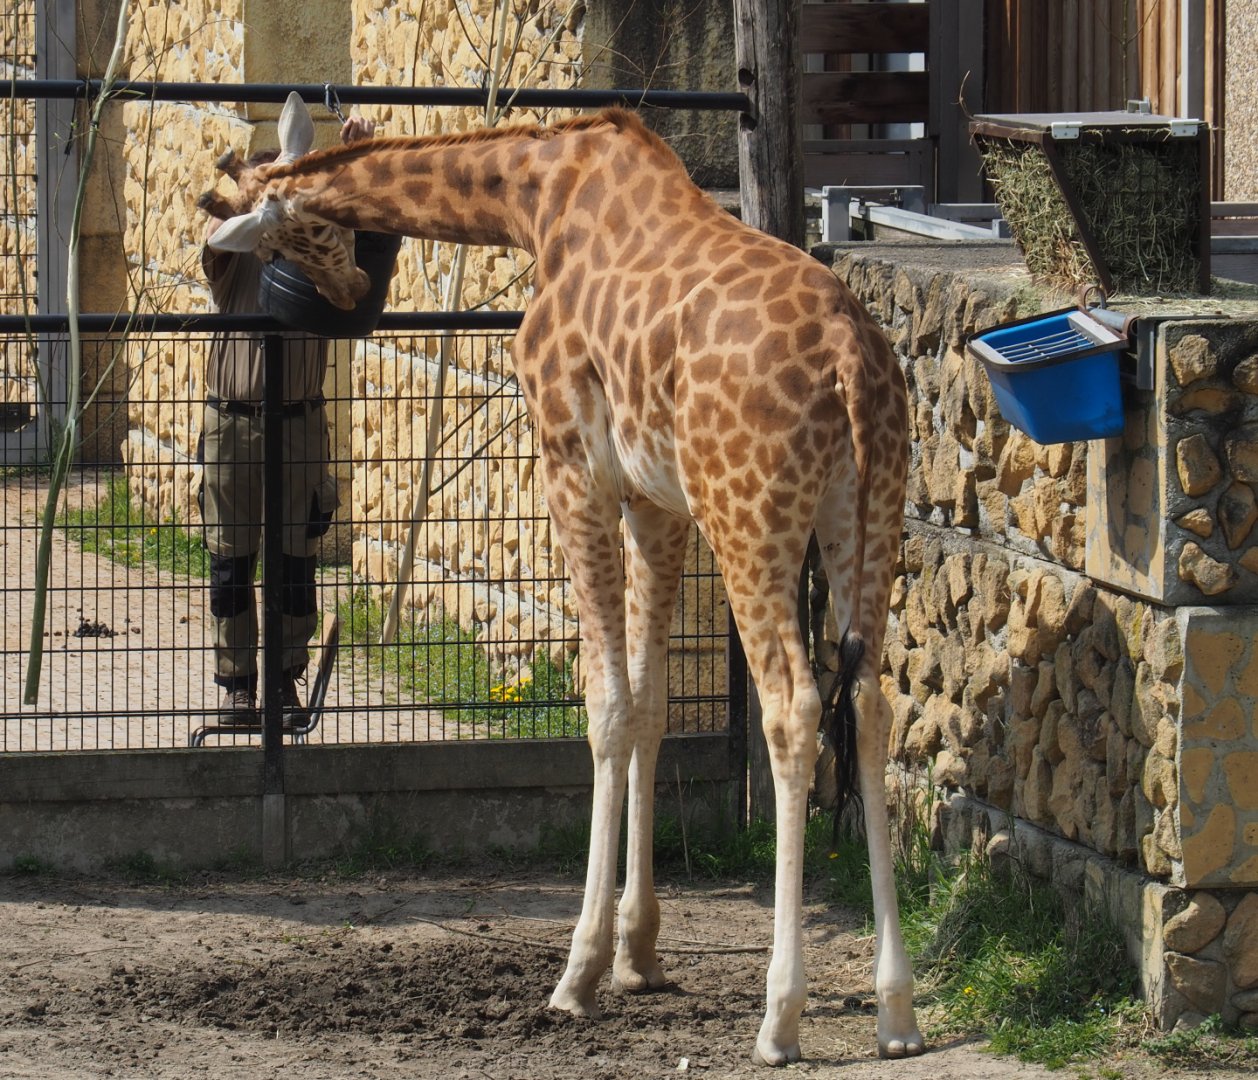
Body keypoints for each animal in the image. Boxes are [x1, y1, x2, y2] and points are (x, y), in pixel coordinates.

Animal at [204, 92, 924, 1066]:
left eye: (287, 235)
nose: (352, 292)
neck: (534, 199)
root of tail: (853, 362)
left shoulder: (573, 466)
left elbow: (607, 707)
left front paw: (578, 973)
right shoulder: (656, 500)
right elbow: (653, 705)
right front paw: (639, 954)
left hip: (752, 513)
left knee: (794, 709)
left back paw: (780, 1018)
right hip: (870, 511)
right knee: (874, 705)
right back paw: (896, 1009)